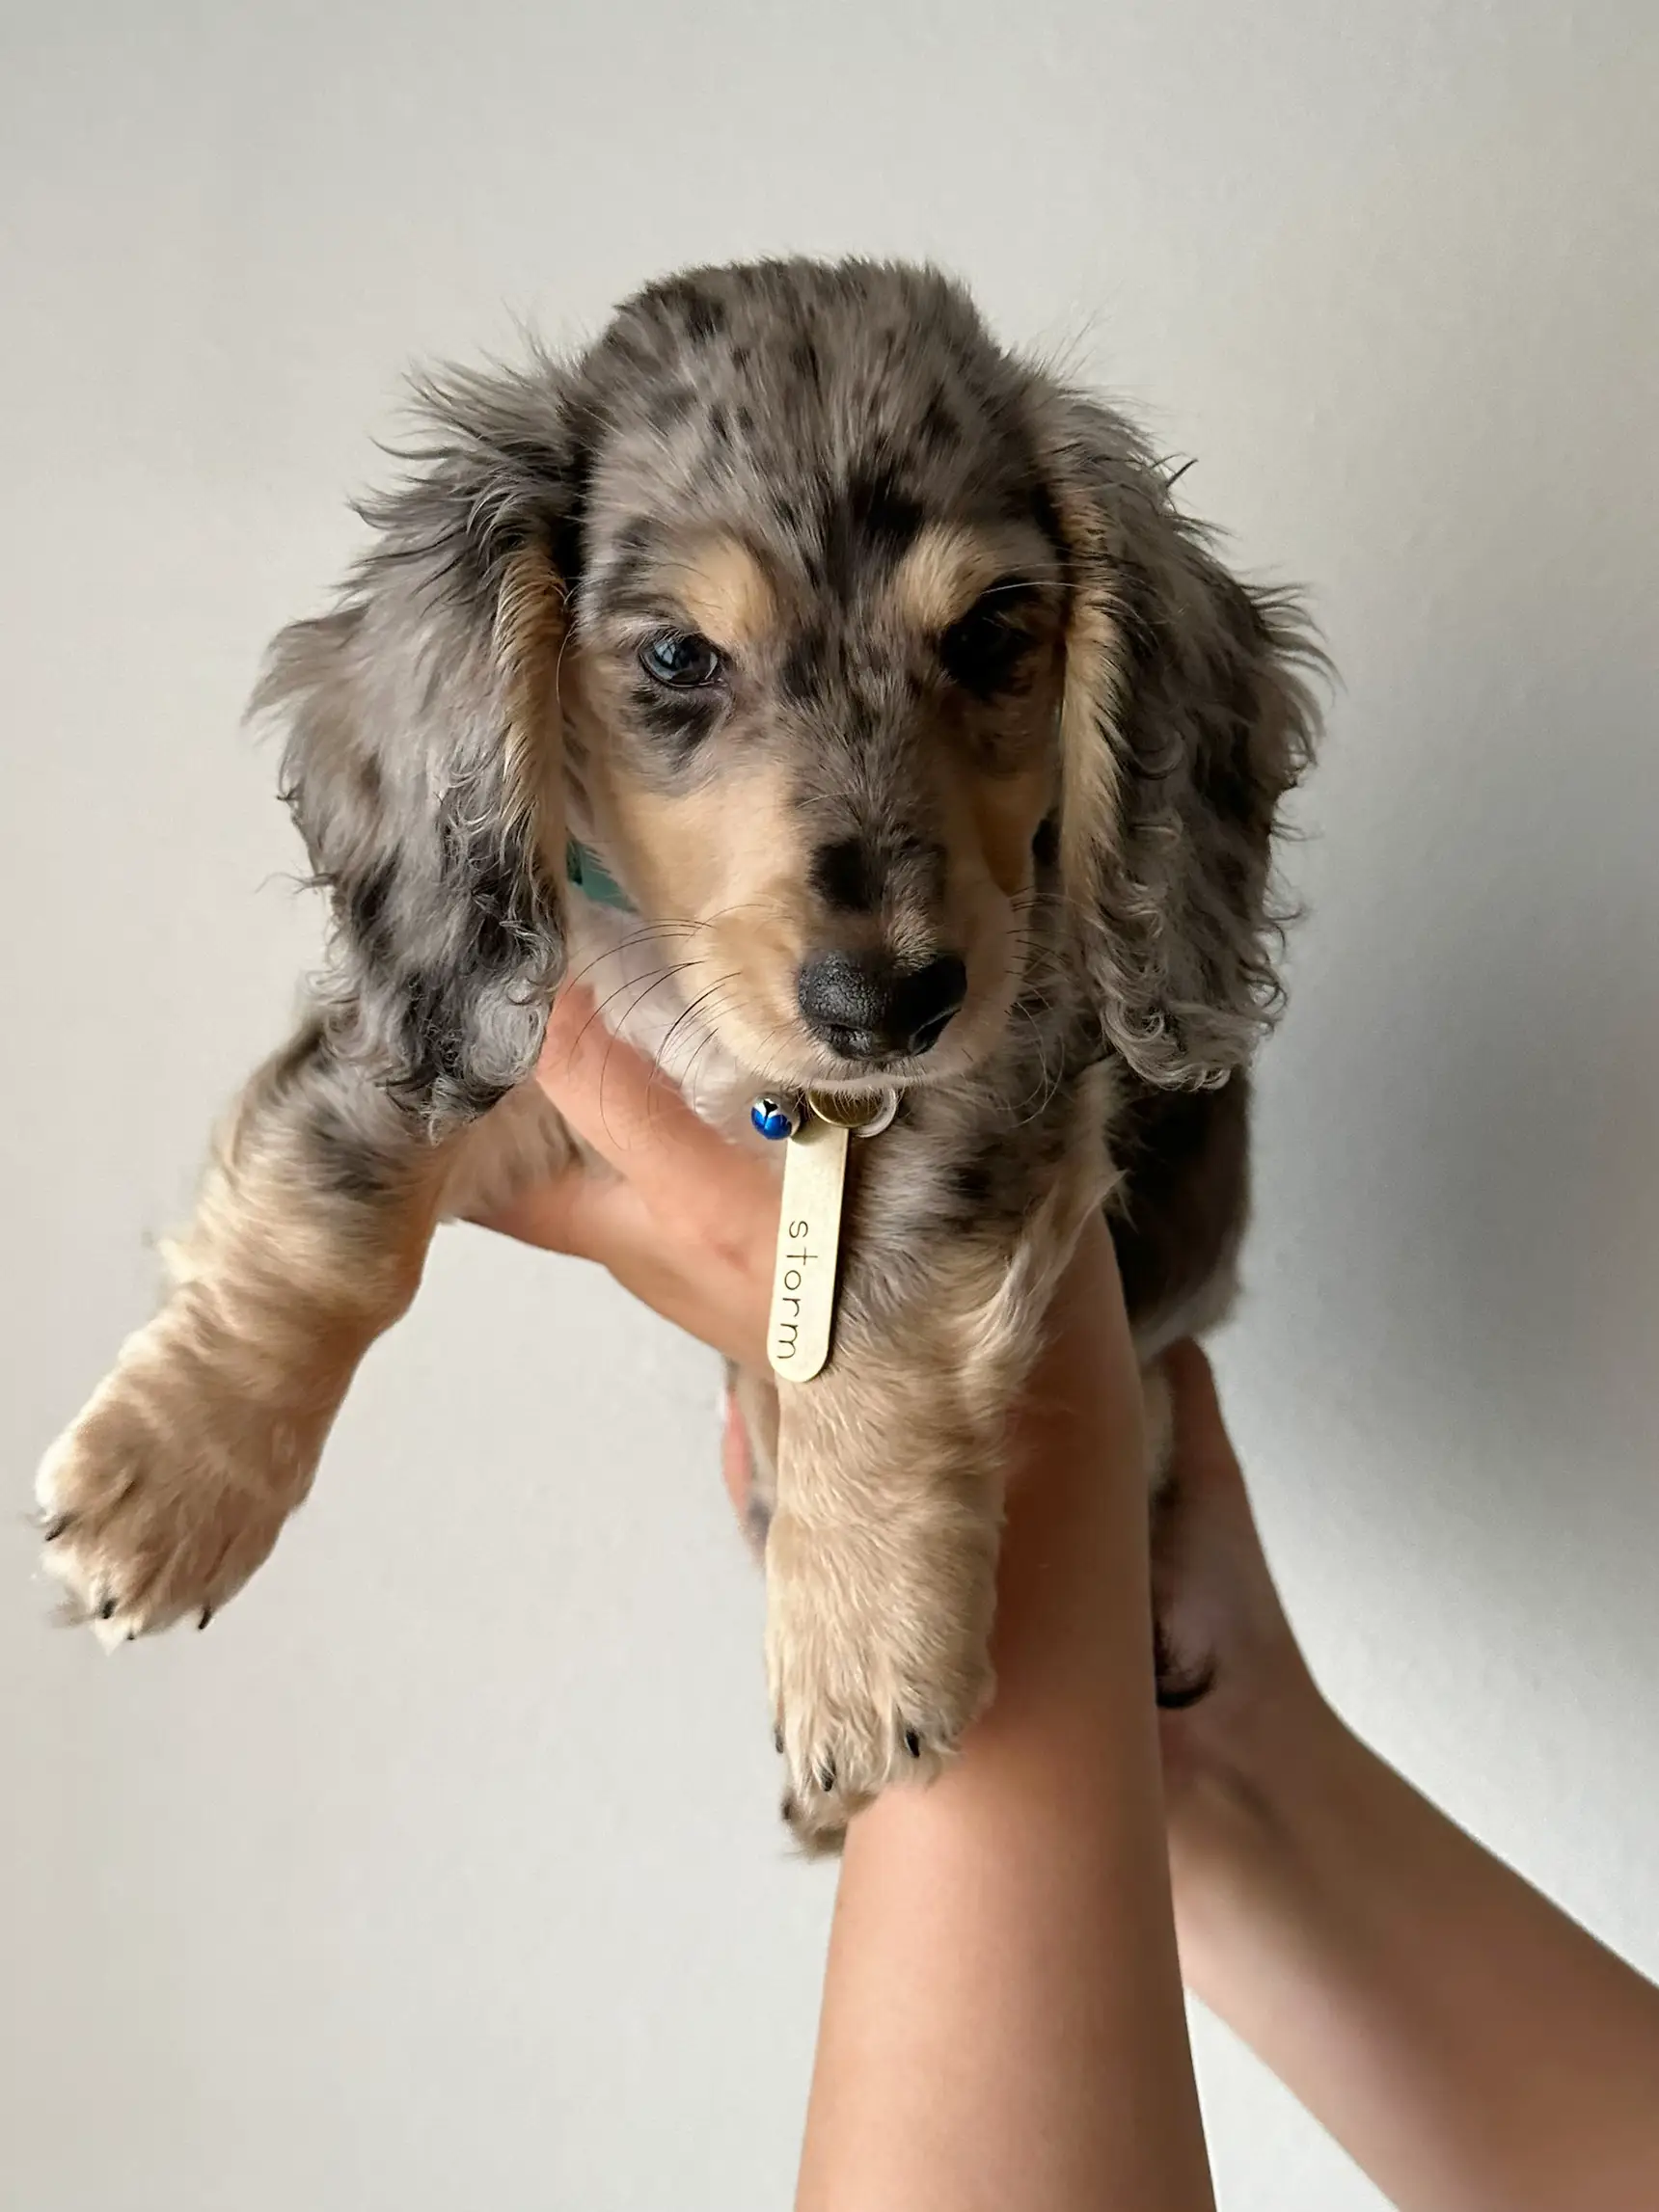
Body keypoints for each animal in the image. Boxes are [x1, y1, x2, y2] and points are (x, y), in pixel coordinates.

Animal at [39, 254, 1327, 1848]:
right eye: (676, 655)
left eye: (987, 637)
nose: (886, 1003)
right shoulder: (477, 1029)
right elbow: (334, 1208)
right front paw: (176, 1467)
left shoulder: (1000, 1076)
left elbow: (876, 1324)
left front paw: (861, 1633)